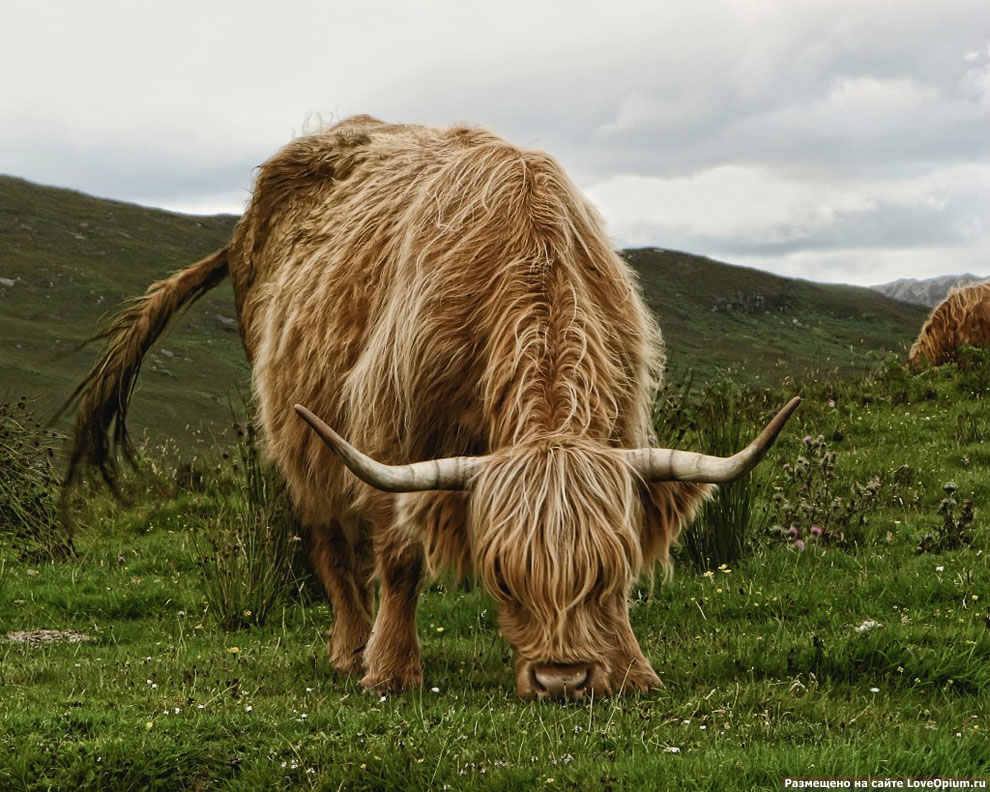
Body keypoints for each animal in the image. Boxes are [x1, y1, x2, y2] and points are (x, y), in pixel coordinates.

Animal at [68, 114, 800, 696]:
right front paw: (391, 669)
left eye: (601, 575)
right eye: (501, 577)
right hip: (297, 436)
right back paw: (351, 648)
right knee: (329, 541)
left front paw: (631, 667)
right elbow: (399, 555)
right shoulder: (394, 431)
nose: (561, 678)